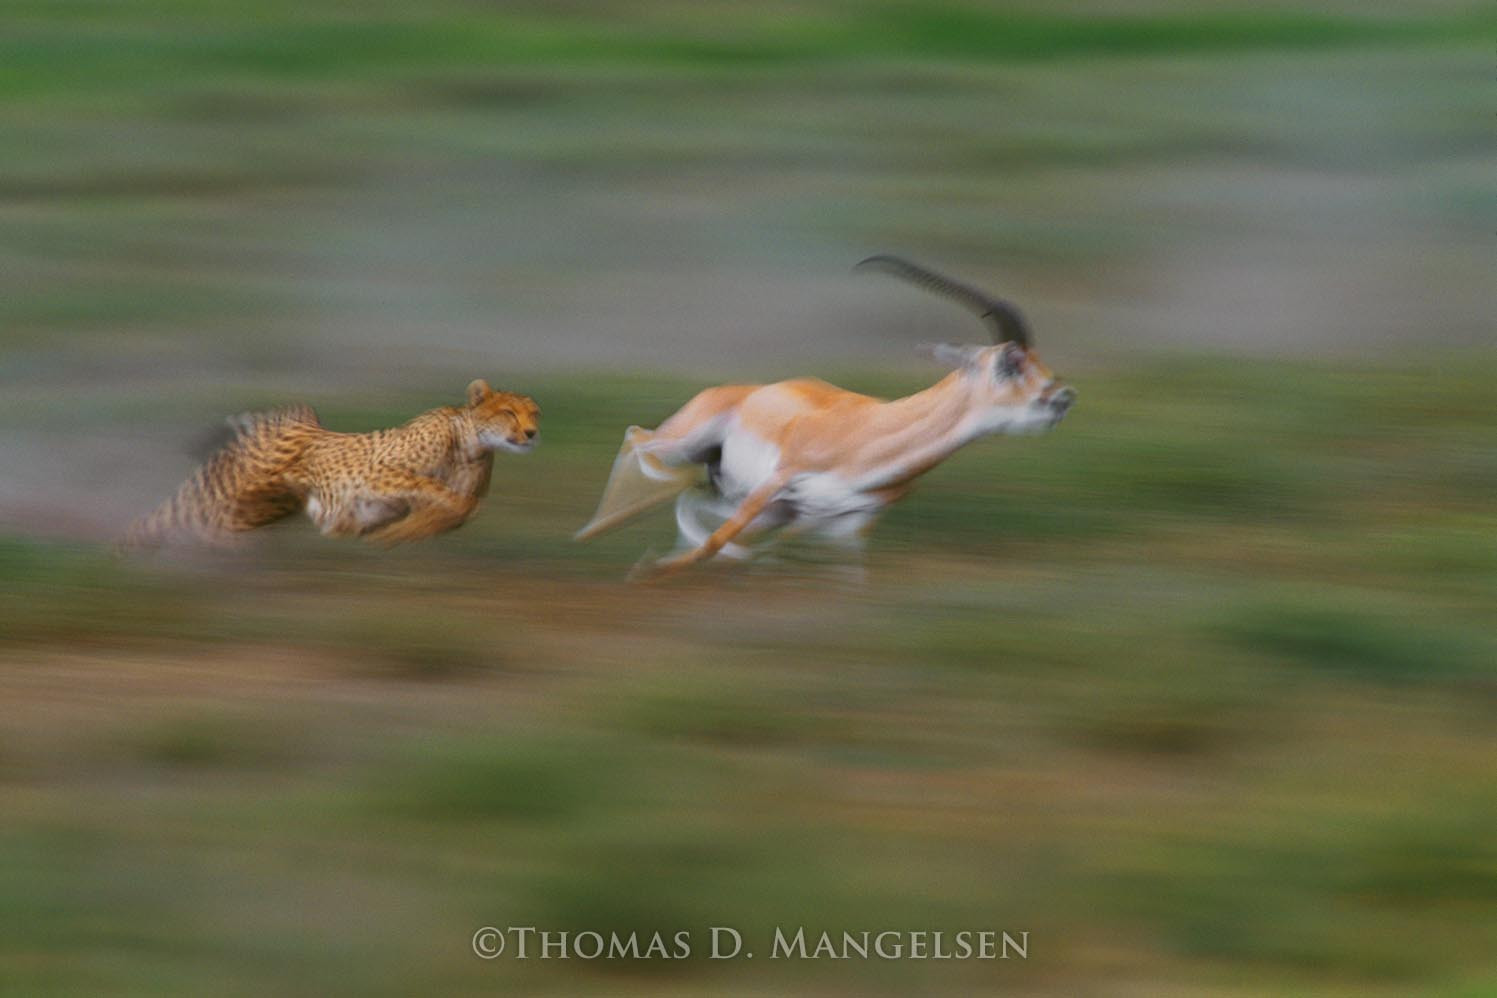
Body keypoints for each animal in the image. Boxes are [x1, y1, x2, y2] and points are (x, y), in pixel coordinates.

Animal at [120, 379, 540, 549]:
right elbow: (449, 495)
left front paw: (394, 535)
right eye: (508, 412)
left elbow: (453, 511)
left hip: (258, 506)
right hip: (232, 490)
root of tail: (300, 415)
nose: (533, 433)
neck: (470, 443)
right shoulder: (380, 472)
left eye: (534, 412)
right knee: (168, 516)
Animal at [575, 255, 1076, 577]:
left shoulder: (843, 525)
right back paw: (589, 533)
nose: (1062, 397)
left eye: (1040, 362)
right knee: (638, 439)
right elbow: (712, 545)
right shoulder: (779, 481)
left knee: (687, 495)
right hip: (689, 446)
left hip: (751, 502)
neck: (870, 436)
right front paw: (649, 569)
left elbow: (847, 574)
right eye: (1010, 362)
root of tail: (749, 391)